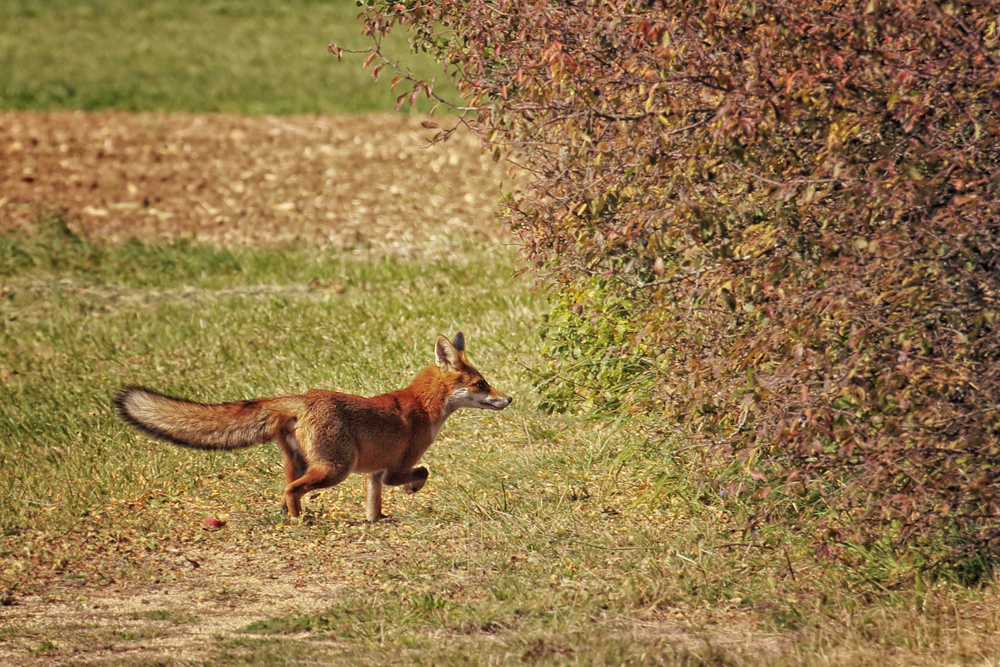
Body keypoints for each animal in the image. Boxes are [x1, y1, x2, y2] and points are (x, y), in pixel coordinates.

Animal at [113, 332, 512, 520]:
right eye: (482, 384)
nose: (508, 398)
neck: (422, 406)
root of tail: (304, 397)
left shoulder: (374, 473)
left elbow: (373, 503)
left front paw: (377, 521)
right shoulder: (395, 467)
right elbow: (423, 472)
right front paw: (412, 490)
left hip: (306, 463)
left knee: (286, 489)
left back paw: (290, 517)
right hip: (336, 467)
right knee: (292, 491)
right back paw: (298, 522)